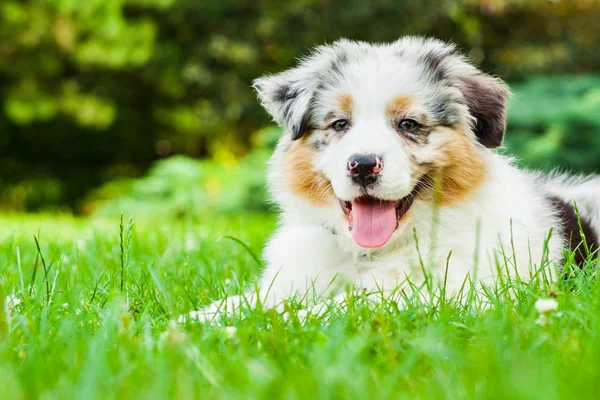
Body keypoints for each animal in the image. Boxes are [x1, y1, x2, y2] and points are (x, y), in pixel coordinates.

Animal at [185, 37, 596, 322]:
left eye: (409, 124)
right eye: (340, 124)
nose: (363, 165)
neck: (369, 252)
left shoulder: (454, 294)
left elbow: (343, 307)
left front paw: (279, 321)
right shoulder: (291, 279)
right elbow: (241, 303)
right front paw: (186, 325)